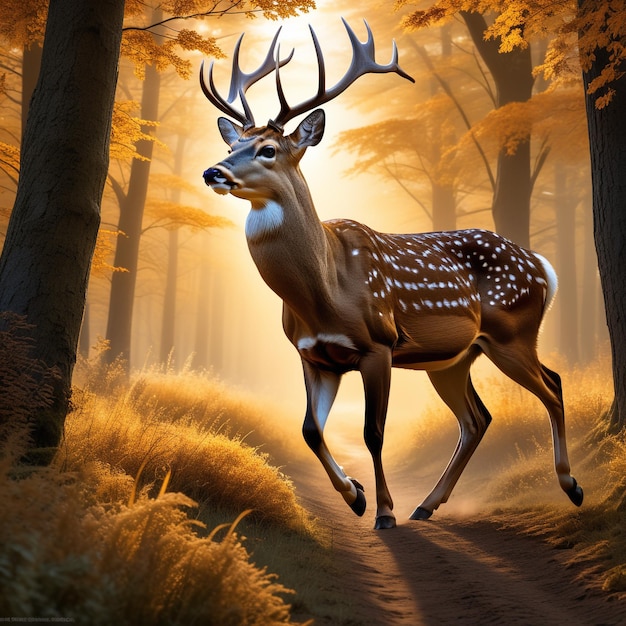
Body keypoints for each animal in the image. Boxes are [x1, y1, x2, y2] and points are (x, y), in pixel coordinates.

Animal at [199, 19, 580, 528]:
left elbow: (373, 432)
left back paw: (571, 486)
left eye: (268, 148)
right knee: (477, 418)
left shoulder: (378, 343)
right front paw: (356, 496)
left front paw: (382, 510)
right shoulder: (313, 354)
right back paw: (426, 505)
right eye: (231, 143)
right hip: (456, 357)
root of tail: (543, 267)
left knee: (552, 386)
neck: (325, 290)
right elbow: (310, 430)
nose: (213, 172)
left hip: (513, 332)